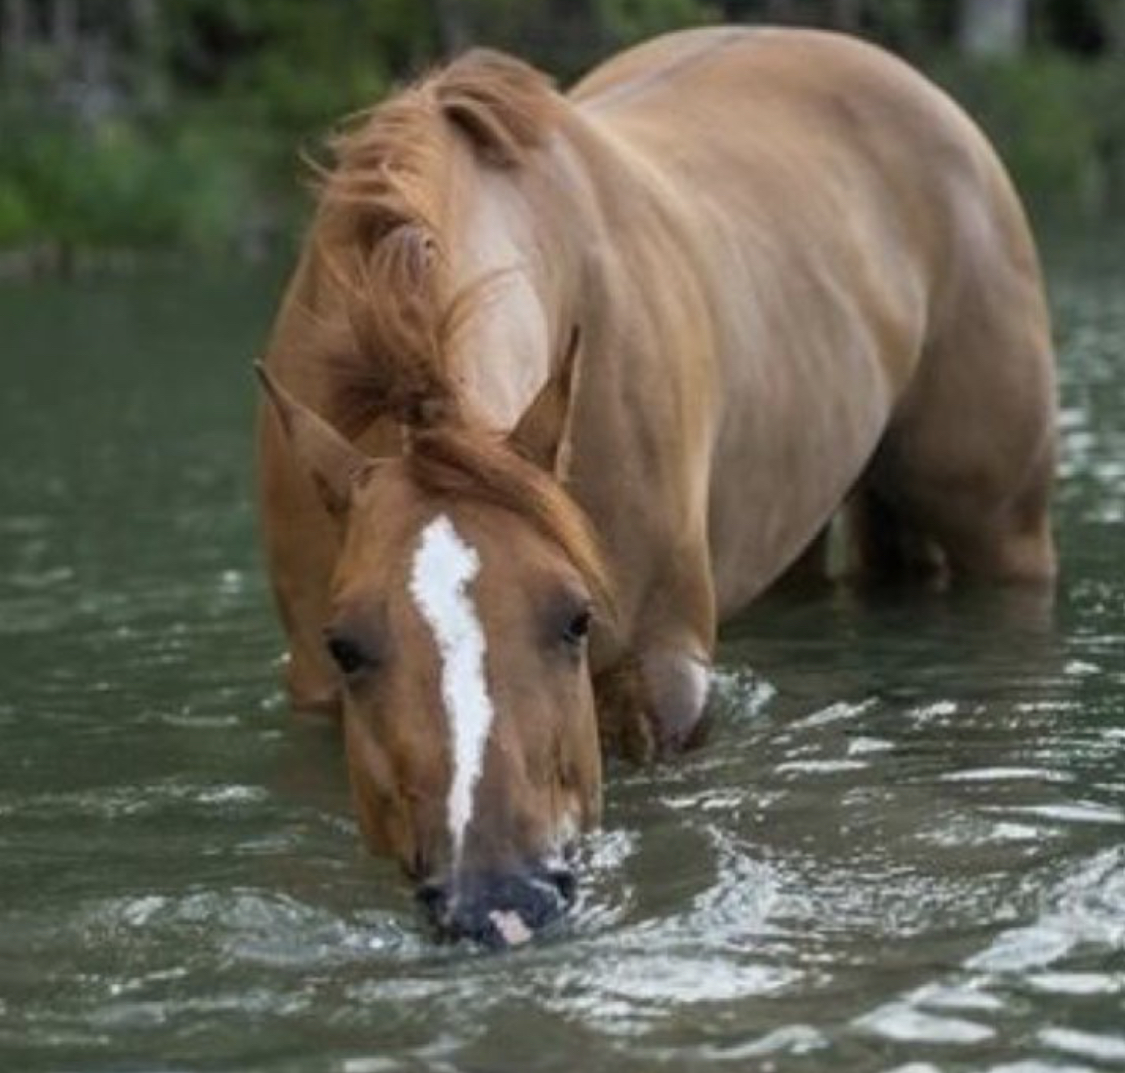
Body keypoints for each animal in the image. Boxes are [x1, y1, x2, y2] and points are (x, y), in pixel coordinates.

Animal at [255, 27, 1053, 944]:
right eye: (347, 645)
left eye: (574, 617)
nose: (501, 899)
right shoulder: (315, 689)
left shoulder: (663, 677)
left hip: (1004, 531)